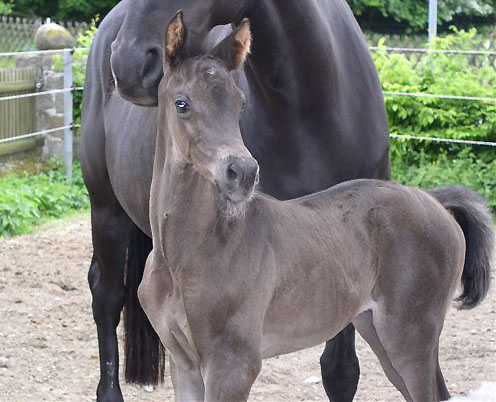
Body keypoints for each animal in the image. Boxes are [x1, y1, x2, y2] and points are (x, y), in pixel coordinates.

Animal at [138, 13, 494, 402]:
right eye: (182, 103)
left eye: (240, 104)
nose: (242, 173)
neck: (185, 253)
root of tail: (434, 201)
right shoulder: (184, 364)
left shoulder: (232, 363)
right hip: (378, 331)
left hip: (409, 334)